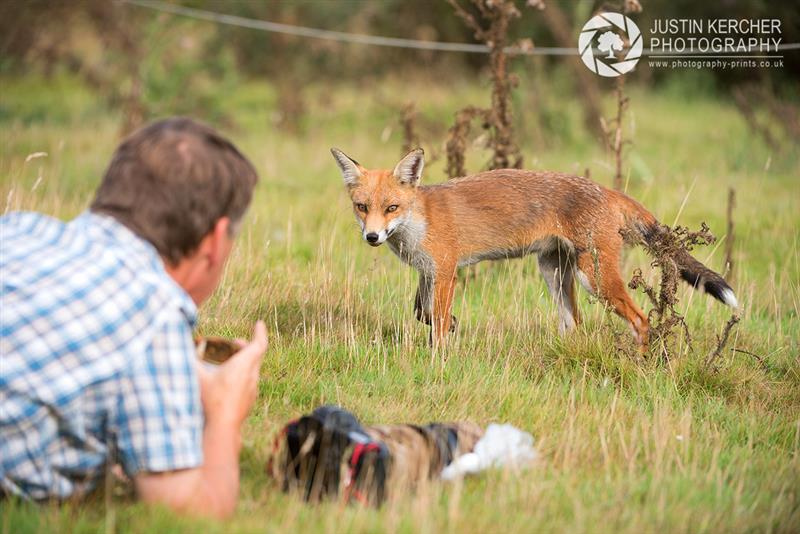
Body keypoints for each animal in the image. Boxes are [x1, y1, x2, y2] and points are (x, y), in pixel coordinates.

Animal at [332, 149, 736, 348]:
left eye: (391, 208)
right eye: (362, 207)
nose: (372, 237)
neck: (419, 220)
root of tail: (606, 190)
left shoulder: (446, 270)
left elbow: (439, 322)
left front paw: (440, 357)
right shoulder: (428, 273)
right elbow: (423, 313)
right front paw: (452, 327)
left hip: (595, 278)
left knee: (640, 321)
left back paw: (639, 365)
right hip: (554, 272)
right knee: (574, 323)